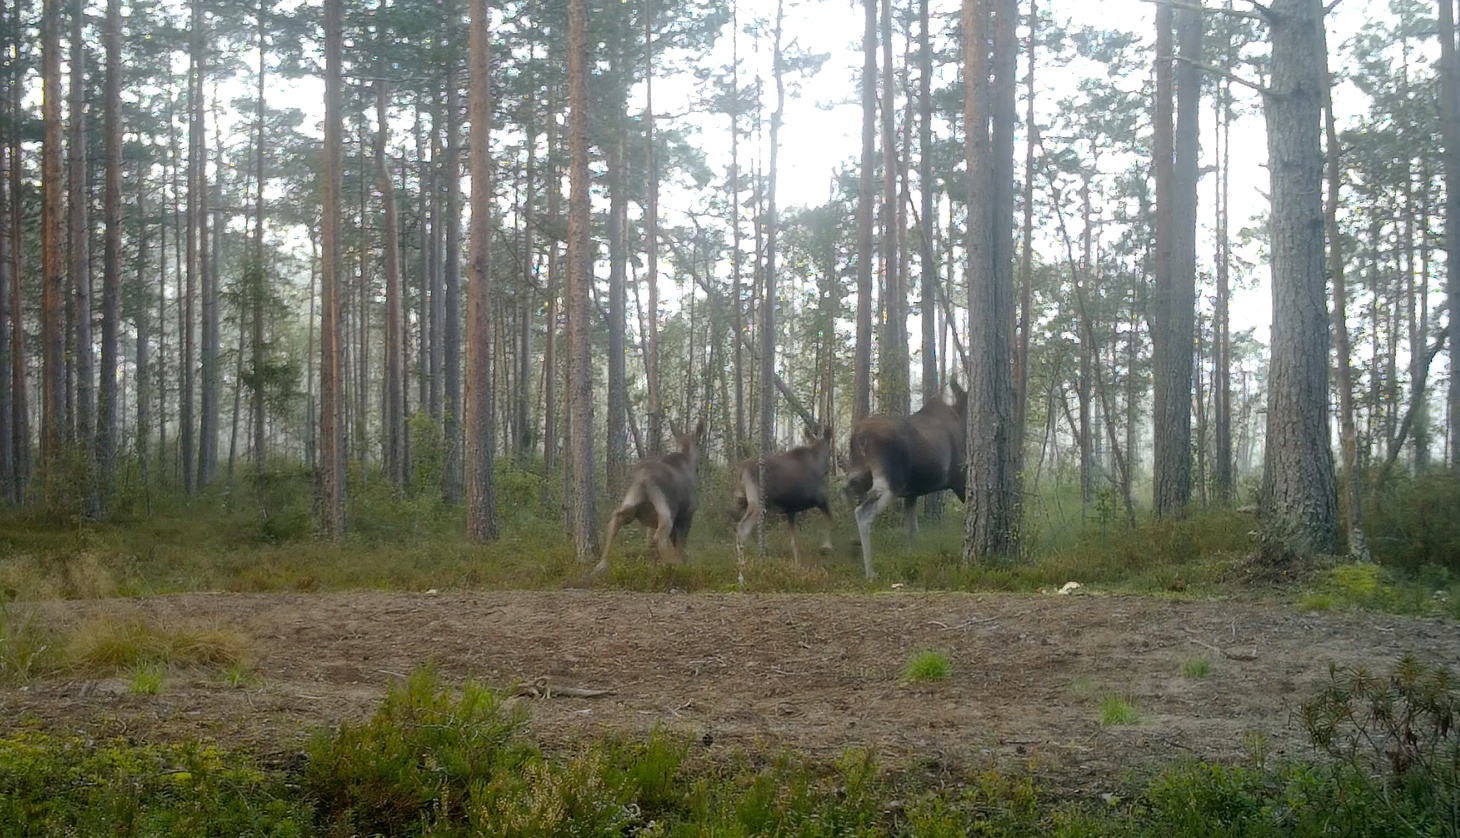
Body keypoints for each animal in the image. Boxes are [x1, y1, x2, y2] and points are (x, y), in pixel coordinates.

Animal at [846, 385, 969, 581]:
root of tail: (857, 437)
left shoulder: (912, 493)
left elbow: (910, 531)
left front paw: (909, 560)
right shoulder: (960, 478)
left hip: (859, 474)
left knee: (845, 491)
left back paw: (848, 542)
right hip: (890, 482)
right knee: (863, 512)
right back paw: (870, 572)